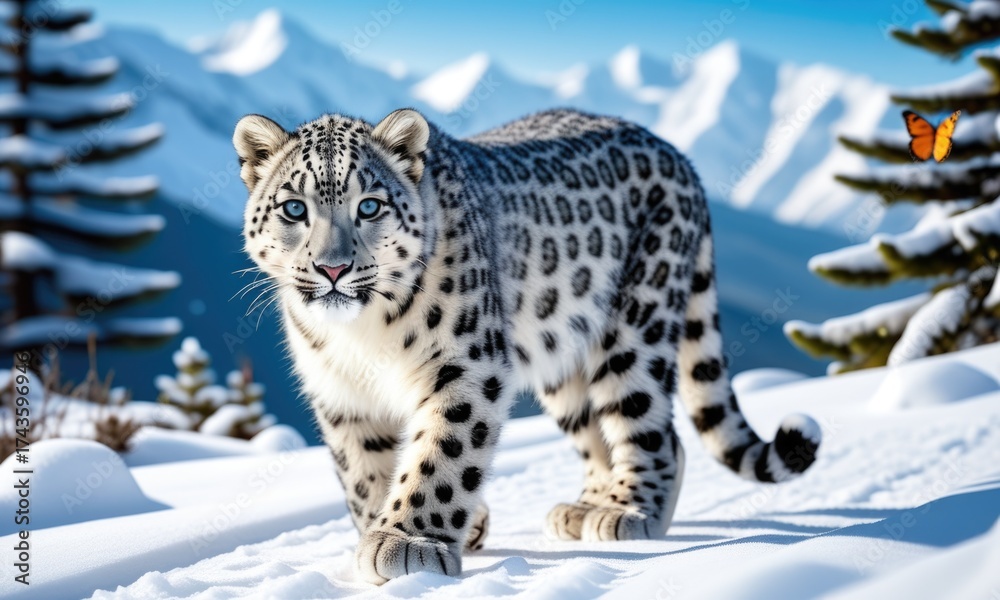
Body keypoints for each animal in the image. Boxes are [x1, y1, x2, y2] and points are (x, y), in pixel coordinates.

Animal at [233, 107, 821, 585]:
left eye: (371, 206)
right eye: (293, 210)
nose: (333, 268)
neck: (362, 337)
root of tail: (680, 156)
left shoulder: (465, 364)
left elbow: (441, 454)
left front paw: (408, 542)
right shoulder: (341, 396)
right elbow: (365, 474)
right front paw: (403, 526)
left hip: (636, 328)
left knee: (653, 429)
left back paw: (626, 512)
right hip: (565, 363)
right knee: (601, 432)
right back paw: (583, 508)